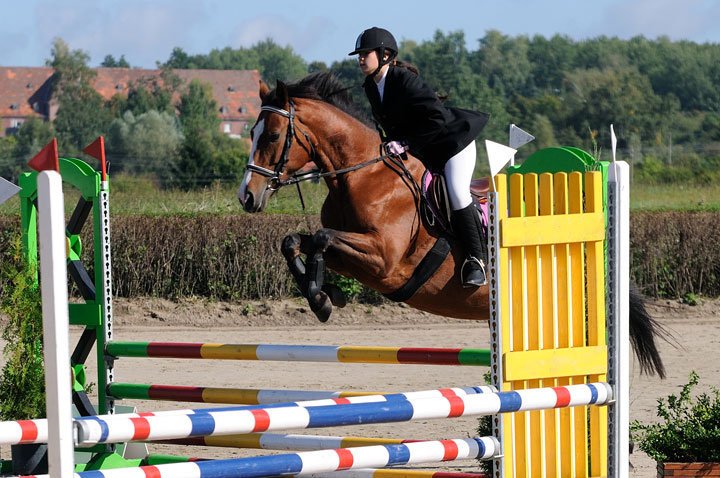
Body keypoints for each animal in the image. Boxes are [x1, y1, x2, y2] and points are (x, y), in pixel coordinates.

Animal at [239, 72, 668, 378]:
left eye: (272, 135)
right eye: (251, 132)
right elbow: (297, 241)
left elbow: (323, 238)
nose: (247, 196)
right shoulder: (359, 259)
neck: (362, 175)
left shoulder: (383, 260)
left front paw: (321, 297)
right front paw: (326, 296)